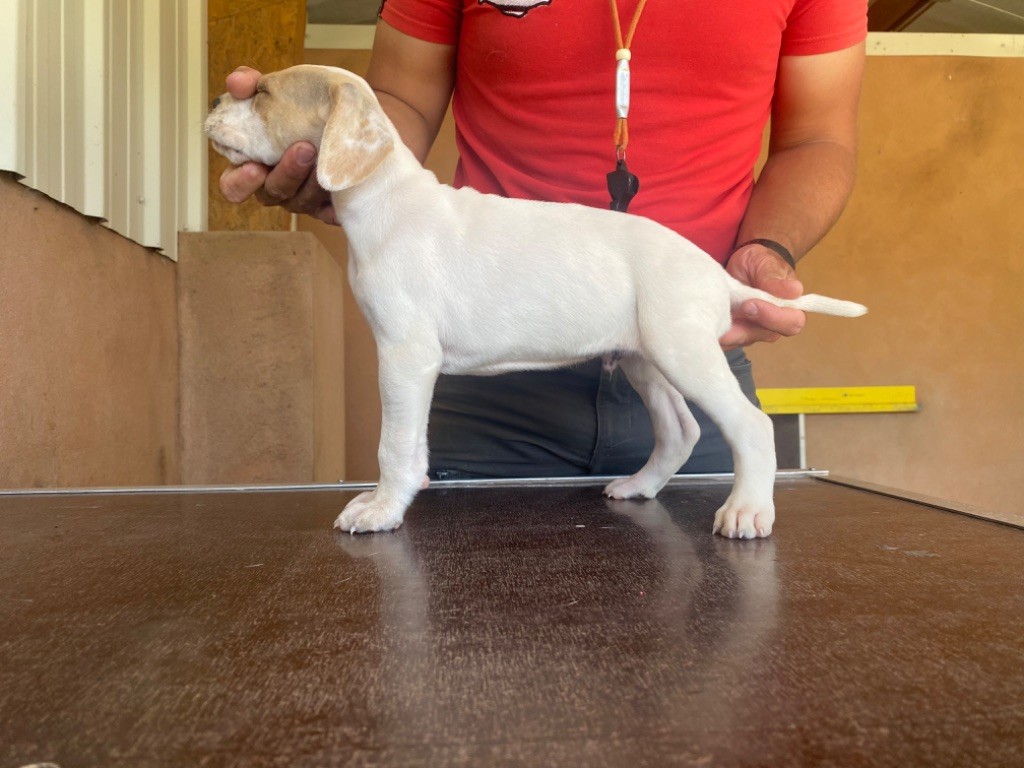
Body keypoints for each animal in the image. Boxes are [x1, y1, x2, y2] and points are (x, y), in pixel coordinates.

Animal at [205, 64, 864, 540]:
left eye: (260, 92)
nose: (214, 97)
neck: (385, 197)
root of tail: (715, 274)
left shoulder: (404, 354)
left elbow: (394, 444)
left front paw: (382, 509)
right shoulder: (411, 363)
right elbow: (410, 444)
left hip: (684, 351)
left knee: (749, 425)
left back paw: (748, 512)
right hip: (644, 359)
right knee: (679, 430)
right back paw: (638, 486)